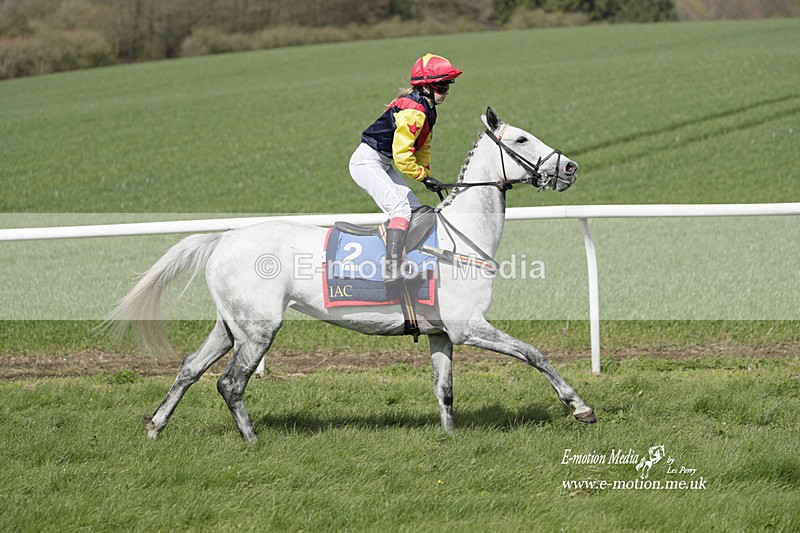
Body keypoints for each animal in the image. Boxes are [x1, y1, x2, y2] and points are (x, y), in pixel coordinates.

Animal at [108, 107, 596, 442]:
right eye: (522, 138)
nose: (570, 167)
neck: (462, 237)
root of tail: (223, 240)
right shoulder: (468, 326)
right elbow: (534, 354)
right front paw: (579, 406)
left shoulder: (442, 333)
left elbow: (444, 389)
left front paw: (450, 436)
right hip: (260, 328)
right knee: (230, 383)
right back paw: (251, 438)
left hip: (232, 325)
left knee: (190, 368)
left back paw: (155, 425)